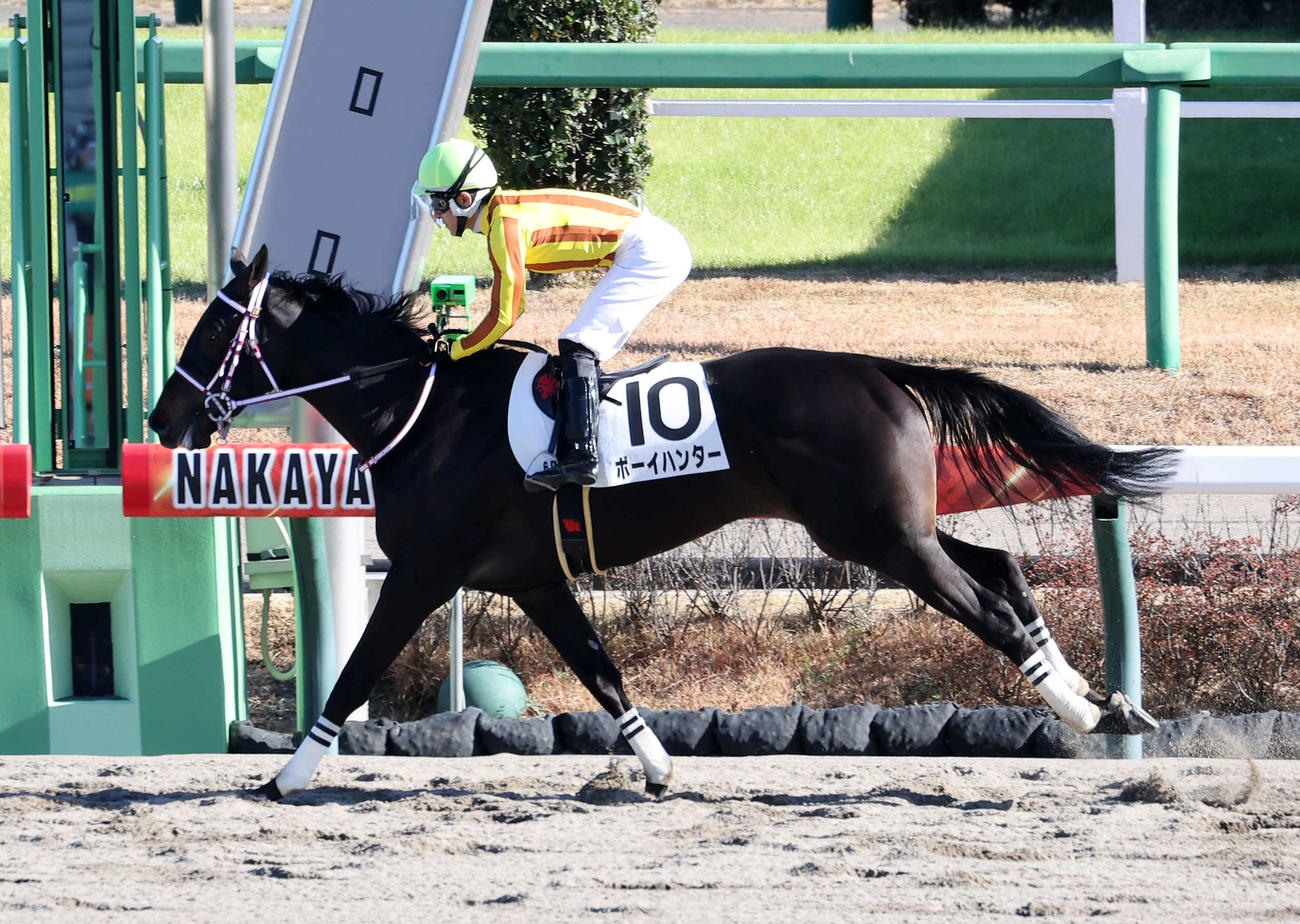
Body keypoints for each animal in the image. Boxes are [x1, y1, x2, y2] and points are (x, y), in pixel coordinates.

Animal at [149, 246, 1177, 800]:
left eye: (213, 332)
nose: (162, 421)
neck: (422, 413)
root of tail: (884, 370)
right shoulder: (534, 577)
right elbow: (600, 673)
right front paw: (656, 768)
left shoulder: (424, 571)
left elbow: (355, 671)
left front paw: (288, 776)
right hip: (894, 532)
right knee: (1001, 568)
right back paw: (1101, 698)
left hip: (878, 540)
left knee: (989, 603)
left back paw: (1084, 709)